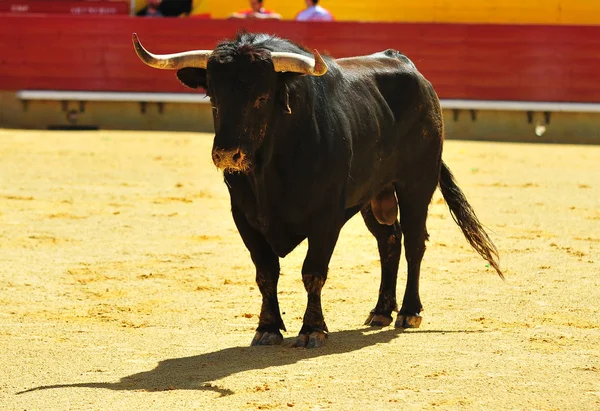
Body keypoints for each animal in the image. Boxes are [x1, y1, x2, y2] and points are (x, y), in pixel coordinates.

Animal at [132, 32, 502, 348]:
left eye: (262, 97)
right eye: (213, 96)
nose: (226, 155)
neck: (269, 169)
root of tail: (410, 68)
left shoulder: (326, 217)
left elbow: (312, 272)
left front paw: (312, 330)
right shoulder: (244, 217)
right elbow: (266, 273)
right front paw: (267, 328)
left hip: (417, 183)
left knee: (414, 241)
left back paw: (409, 312)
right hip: (373, 196)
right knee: (389, 241)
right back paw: (381, 310)